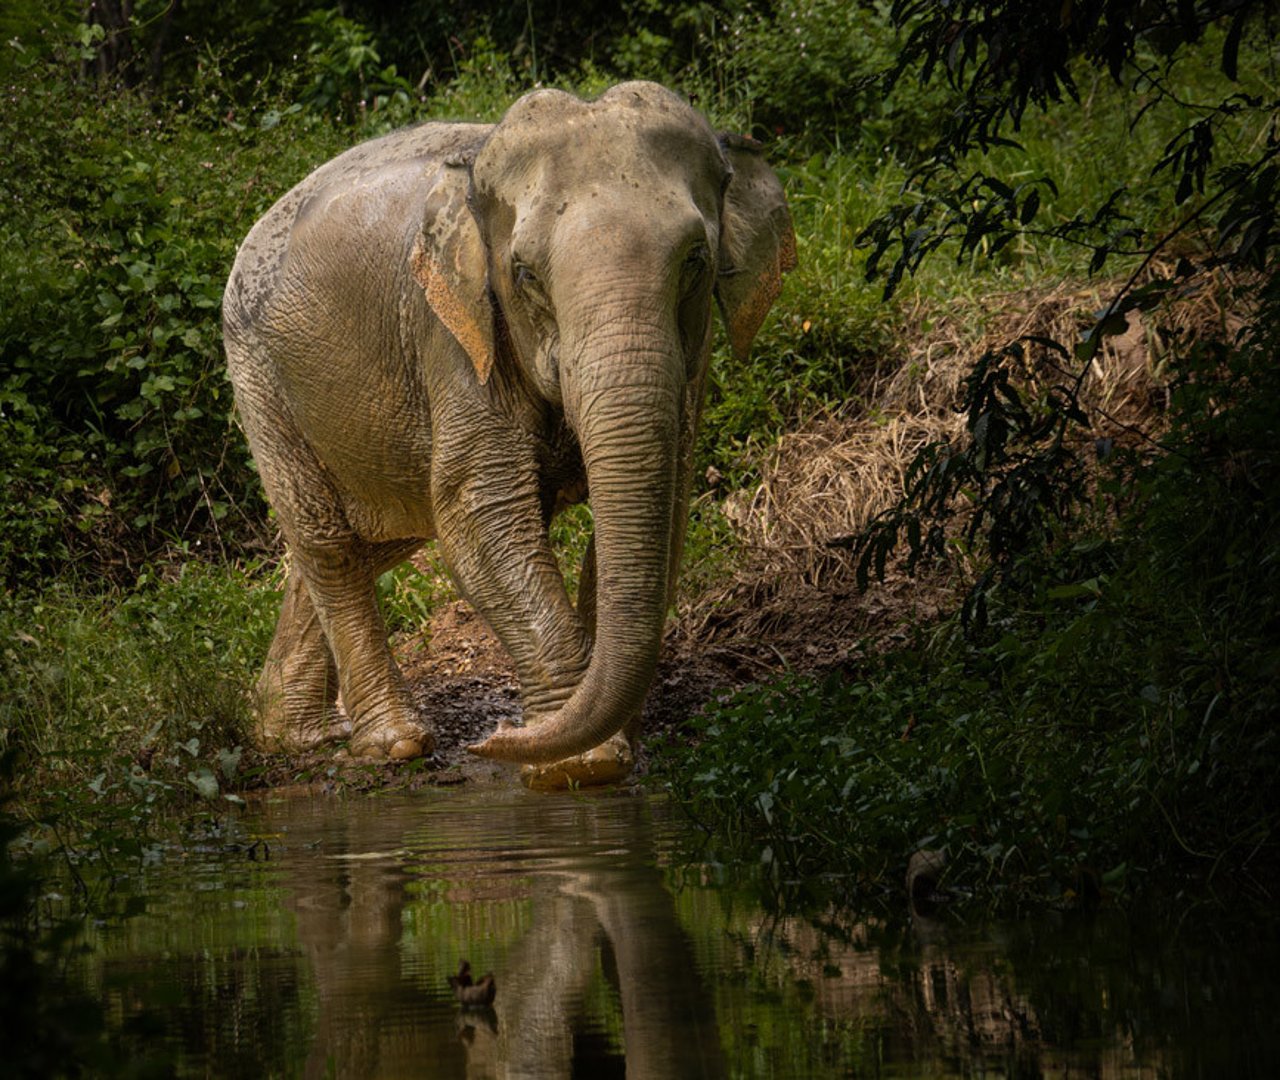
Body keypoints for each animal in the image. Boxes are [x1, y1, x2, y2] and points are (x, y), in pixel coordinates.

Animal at [225, 78, 793, 783]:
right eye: (524, 275)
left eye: (696, 261)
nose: (490, 738)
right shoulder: (452, 331)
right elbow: (480, 513)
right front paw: (575, 763)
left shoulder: (696, 357)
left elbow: (665, 504)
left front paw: (592, 746)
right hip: (257, 376)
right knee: (328, 542)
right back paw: (392, 744)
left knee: (374, 540)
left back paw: (292, 736)